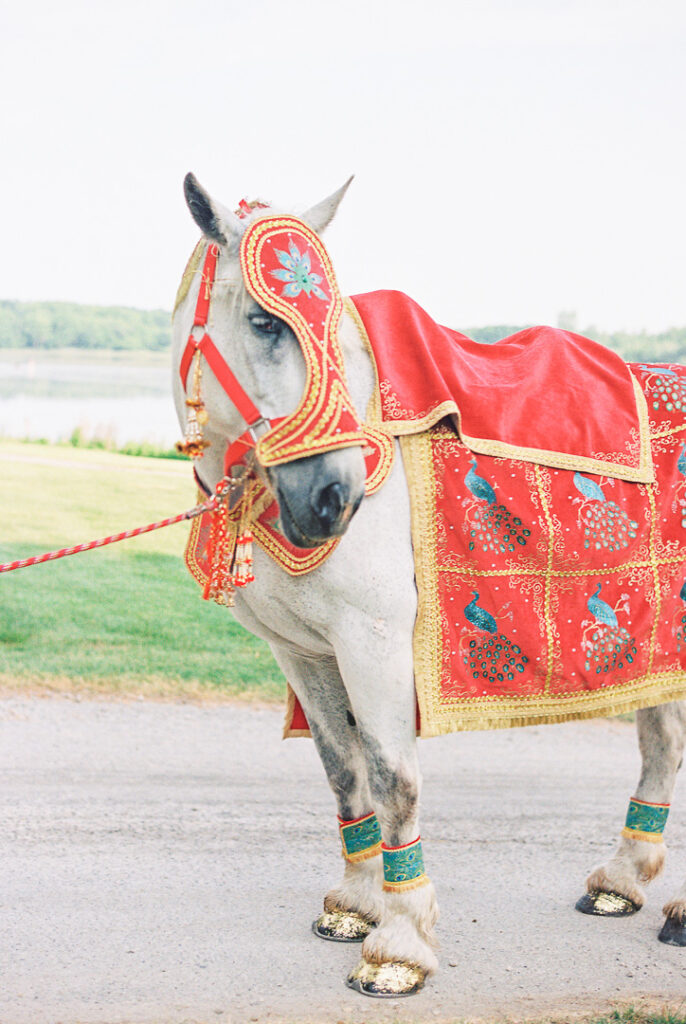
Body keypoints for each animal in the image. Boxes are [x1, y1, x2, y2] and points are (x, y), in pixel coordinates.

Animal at [172, 174, 686, 991]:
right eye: (262, 319)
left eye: (342, 337)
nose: (335, 496)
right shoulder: (306, 652)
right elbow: (343, 769)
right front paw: (354, 904)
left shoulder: (375, 639)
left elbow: (393, 778)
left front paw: (401, 942)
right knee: (663, 741)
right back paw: (623, 880)